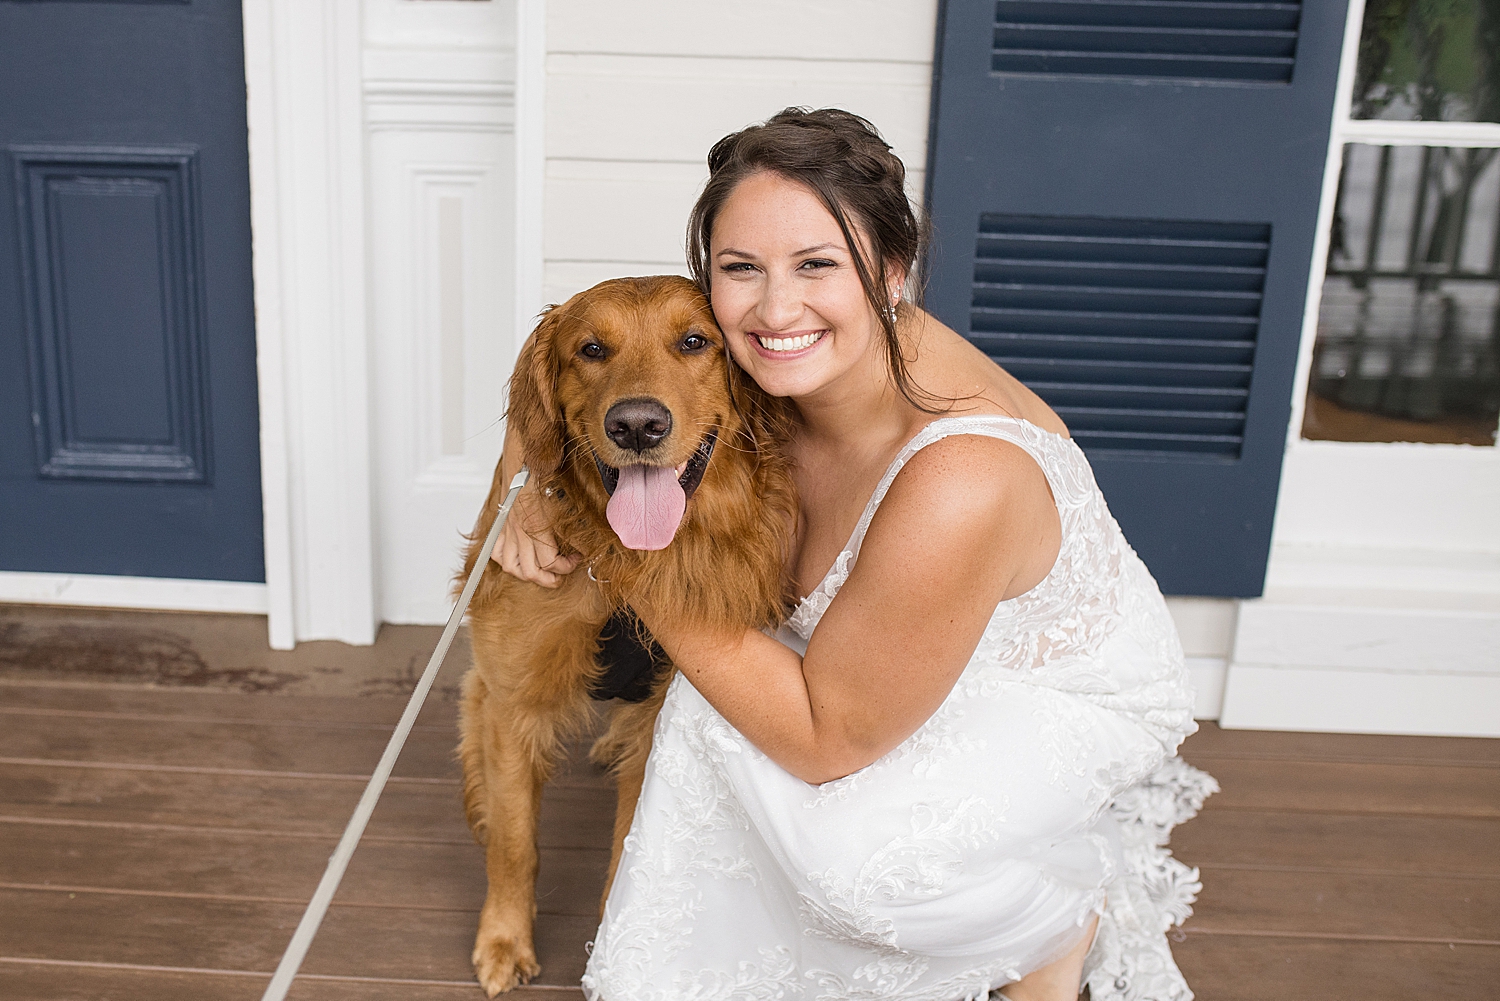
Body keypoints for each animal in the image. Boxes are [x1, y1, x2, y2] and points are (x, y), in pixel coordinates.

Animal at [456, 274, 804, 996]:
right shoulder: (514, 699)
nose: (638, 424)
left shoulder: (662, 713)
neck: (623, 561)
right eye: (591, 349)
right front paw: (503, 940)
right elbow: (514, 841)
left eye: (695, 341)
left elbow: (630, 844)